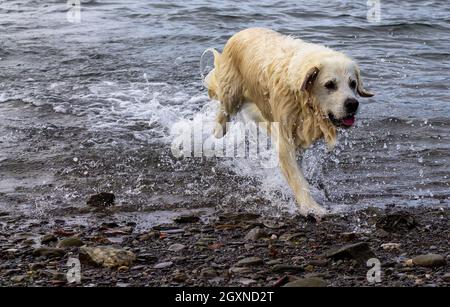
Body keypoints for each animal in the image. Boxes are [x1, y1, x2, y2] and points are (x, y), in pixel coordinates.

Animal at [204, 27, 372, 218]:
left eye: (353, 83)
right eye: (330, 84)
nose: (353, 104)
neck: (302, 99)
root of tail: (243, 30)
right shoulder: (284, 136)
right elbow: (296, 176)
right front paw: (311, 207)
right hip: (230, 95)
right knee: (222, 115)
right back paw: (216, 136)